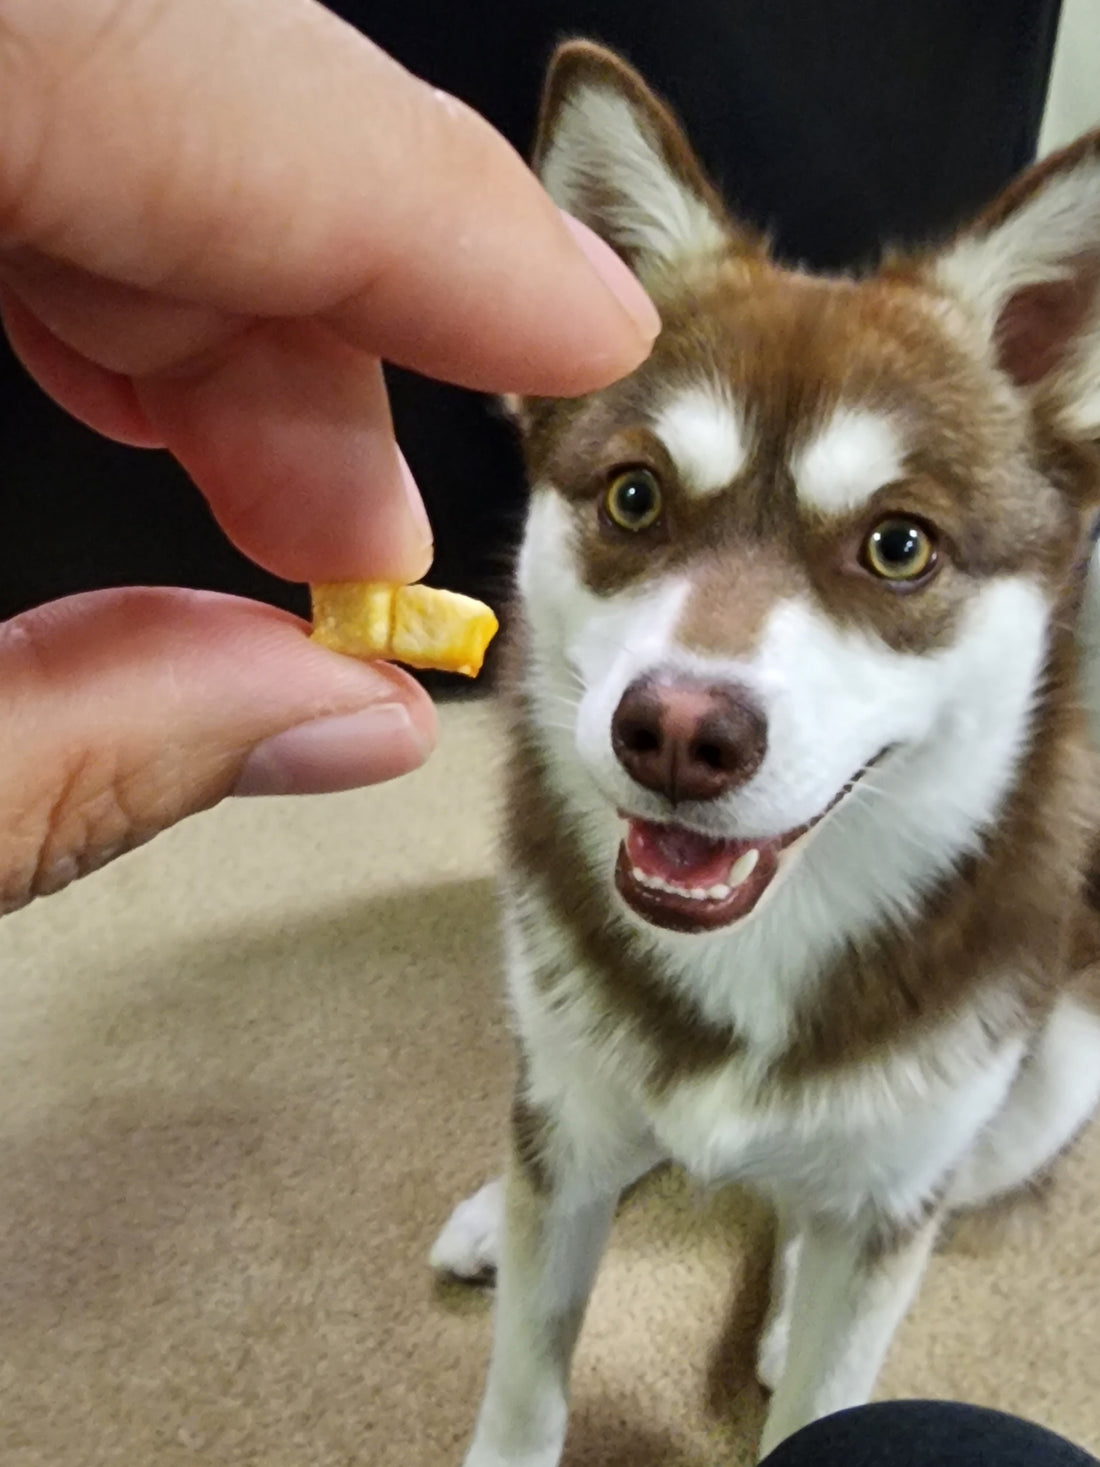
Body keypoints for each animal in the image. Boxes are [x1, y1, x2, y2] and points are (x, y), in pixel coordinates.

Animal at [434, 40, 1100, 1461]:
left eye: (897, 545)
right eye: (633, 496)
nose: (678, 735)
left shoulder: (912, 1162)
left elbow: (840, 1339)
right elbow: (526, 1359)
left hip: (1041, 1086)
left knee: (843, 1204)